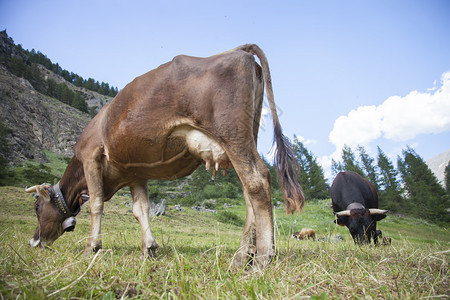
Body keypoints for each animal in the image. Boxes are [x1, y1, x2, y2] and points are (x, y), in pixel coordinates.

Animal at [25, 44, 306, 268]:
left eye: (37, 208)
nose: (33, 241)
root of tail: (237, 51)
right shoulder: (136, 174)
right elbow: (140, 210)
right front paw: (148, 248)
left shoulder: (91, 156)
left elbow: (96, 204)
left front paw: (91, 247)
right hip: (244, 139)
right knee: (249, 191)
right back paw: (241, 256)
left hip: (233, 134)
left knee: (257, 181)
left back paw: (263, 257)